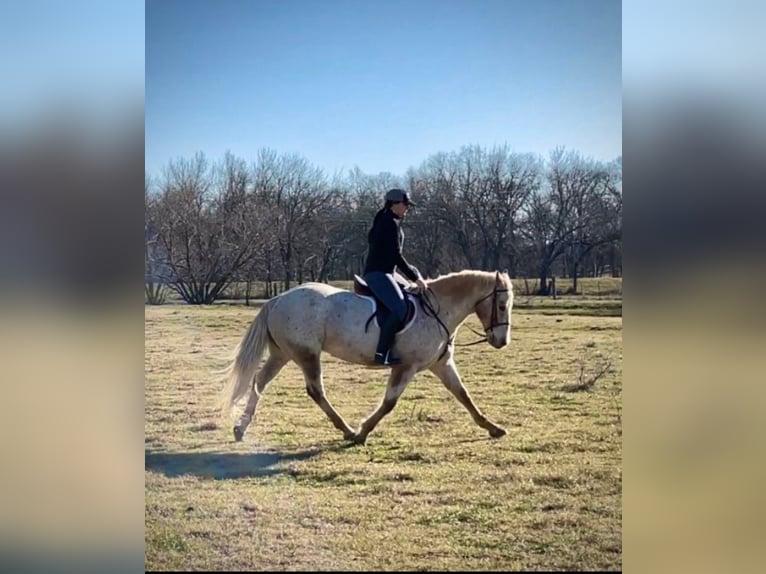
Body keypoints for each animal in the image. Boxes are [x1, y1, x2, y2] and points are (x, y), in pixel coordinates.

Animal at [219, 268, 512, 446]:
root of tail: (278, 300)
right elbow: (389, 403)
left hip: (282, 354)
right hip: (307, 354)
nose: (501, 341)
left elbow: (463, 395)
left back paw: (240, 428)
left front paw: (493, 428)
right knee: (315, 390)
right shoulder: (406, 367)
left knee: (260, 382)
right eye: (500, 305)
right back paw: (347, 430)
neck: (437, 311)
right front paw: (362, 431)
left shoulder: (441, 364)